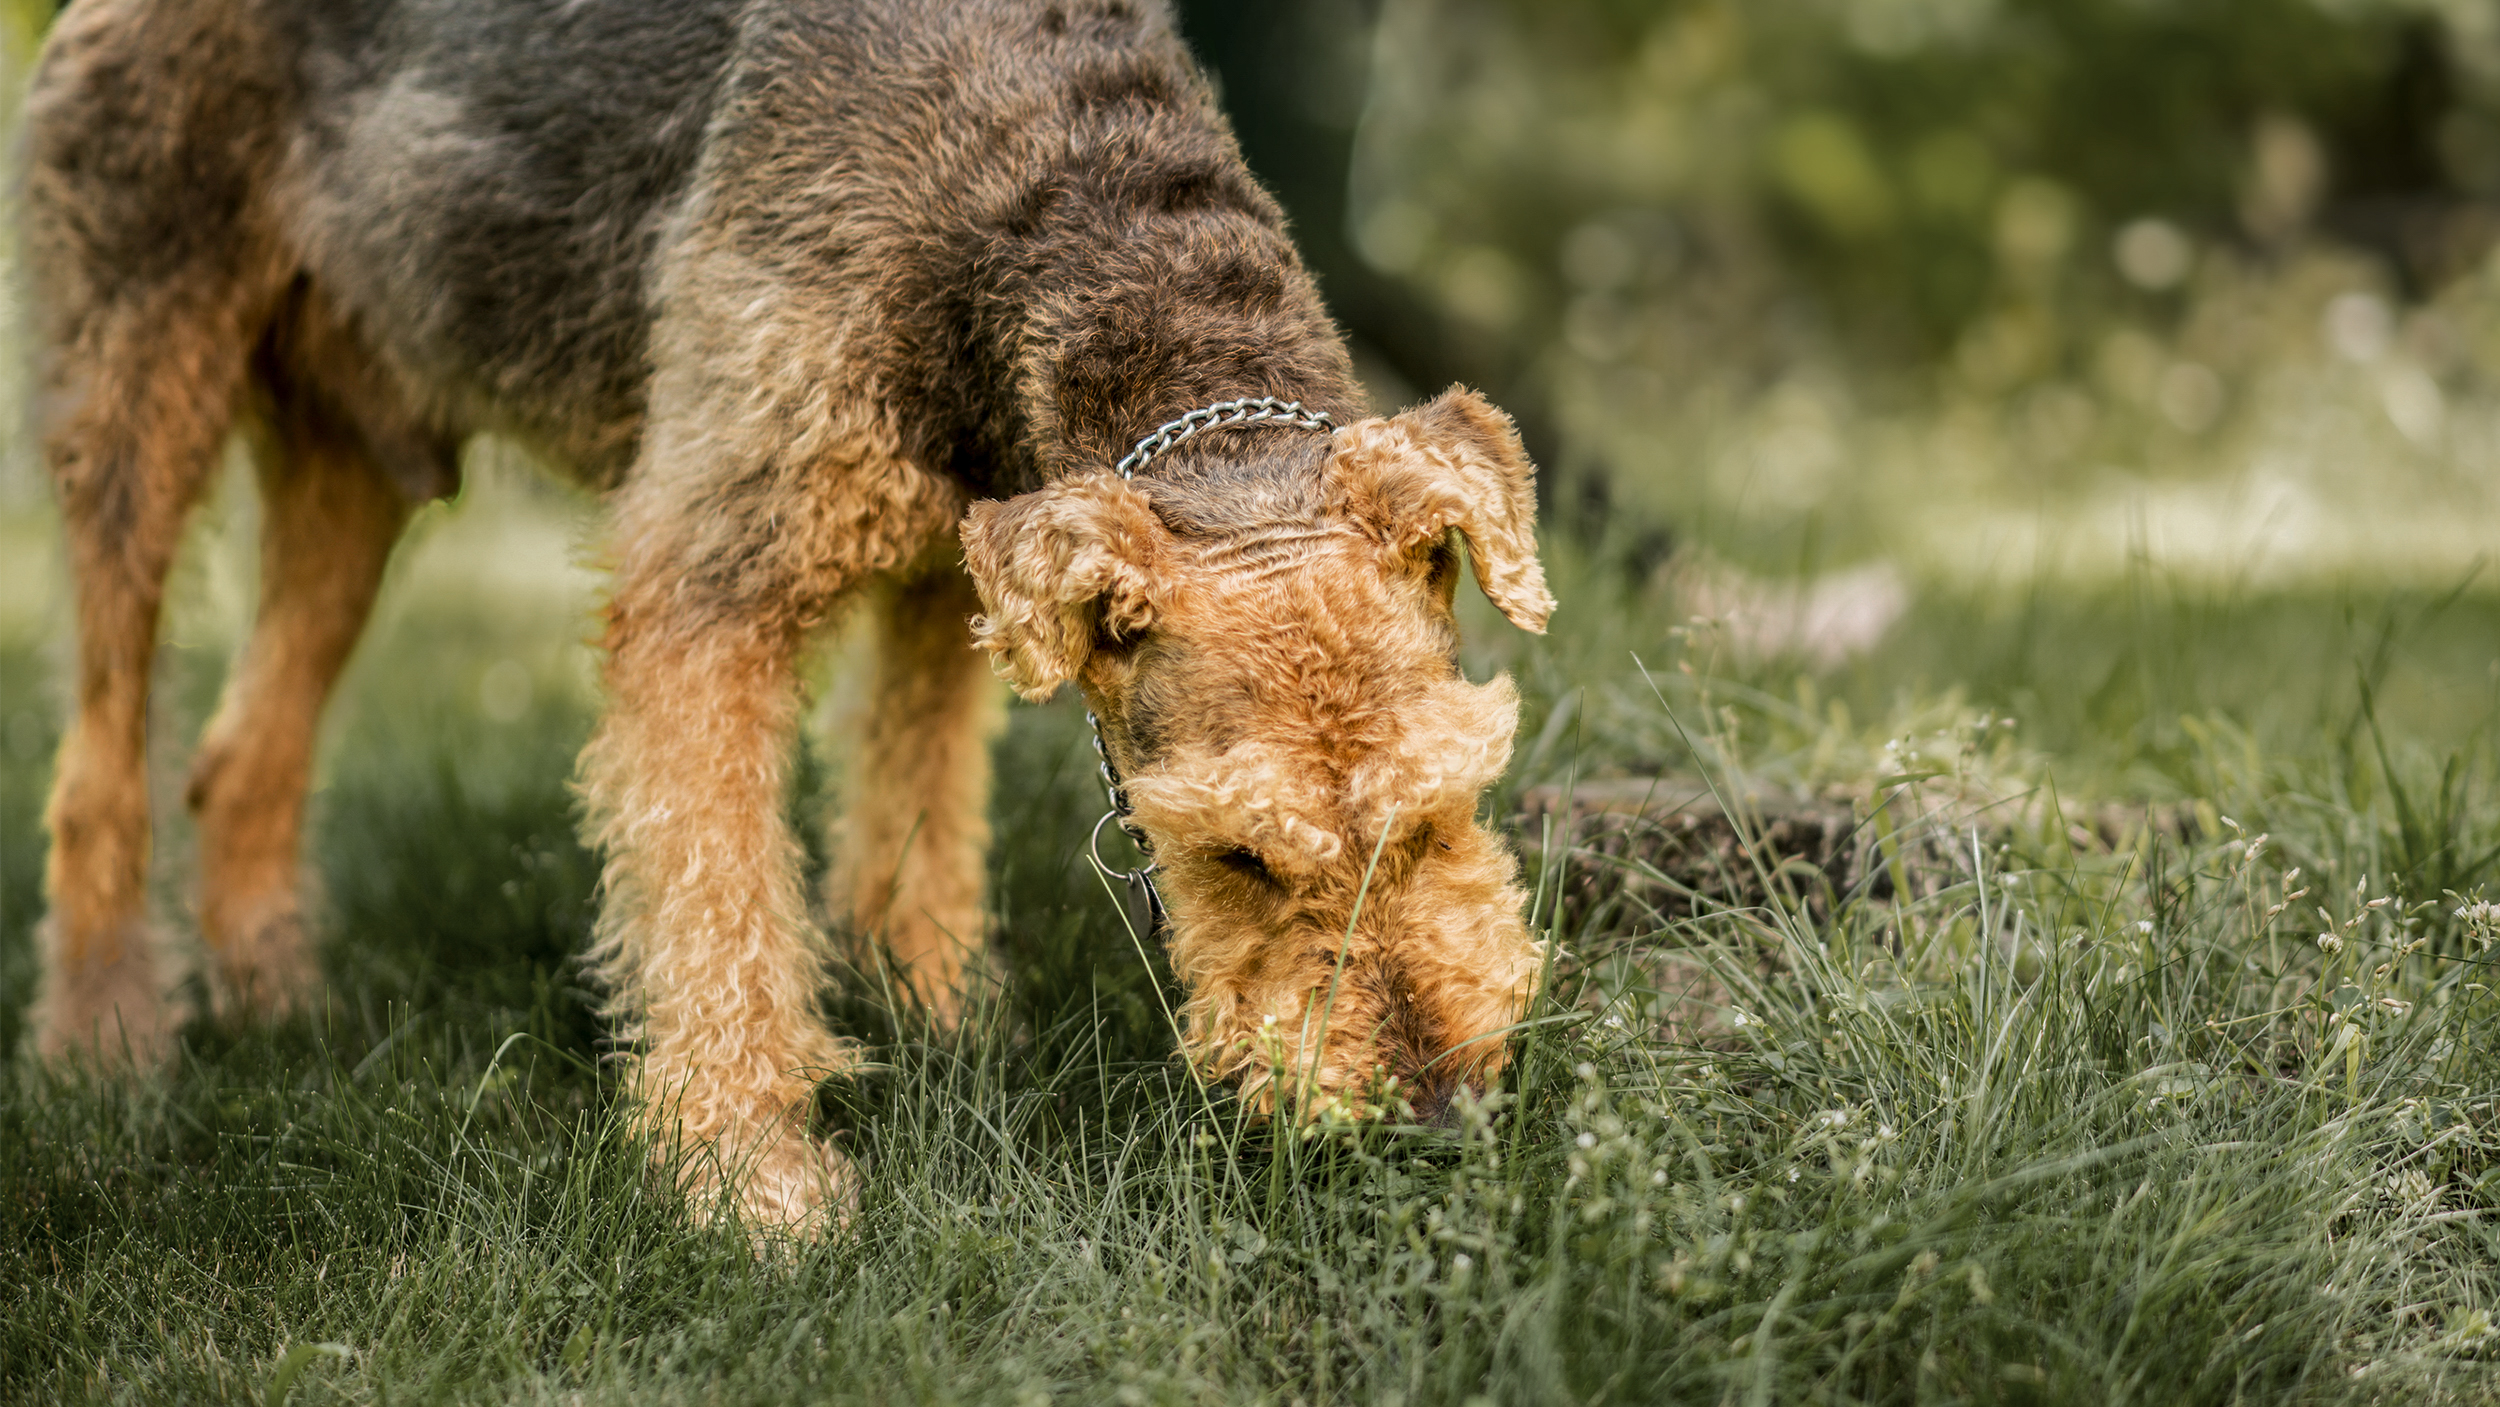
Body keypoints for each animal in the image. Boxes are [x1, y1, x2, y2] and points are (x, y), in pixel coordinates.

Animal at [29, 0, 1550, 1234]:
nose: (1436, 1115)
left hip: (358, 457)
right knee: (102, 762)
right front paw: (751, 1181)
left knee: (244, 755)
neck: (1029, 167)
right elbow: (718, 899)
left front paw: (938, 1013)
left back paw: (278, 997)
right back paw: (108, 1039)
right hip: (141, 378)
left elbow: (914, 818)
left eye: (1448, 806)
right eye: (1234, 853)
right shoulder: (708, 581)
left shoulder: (959, 568)